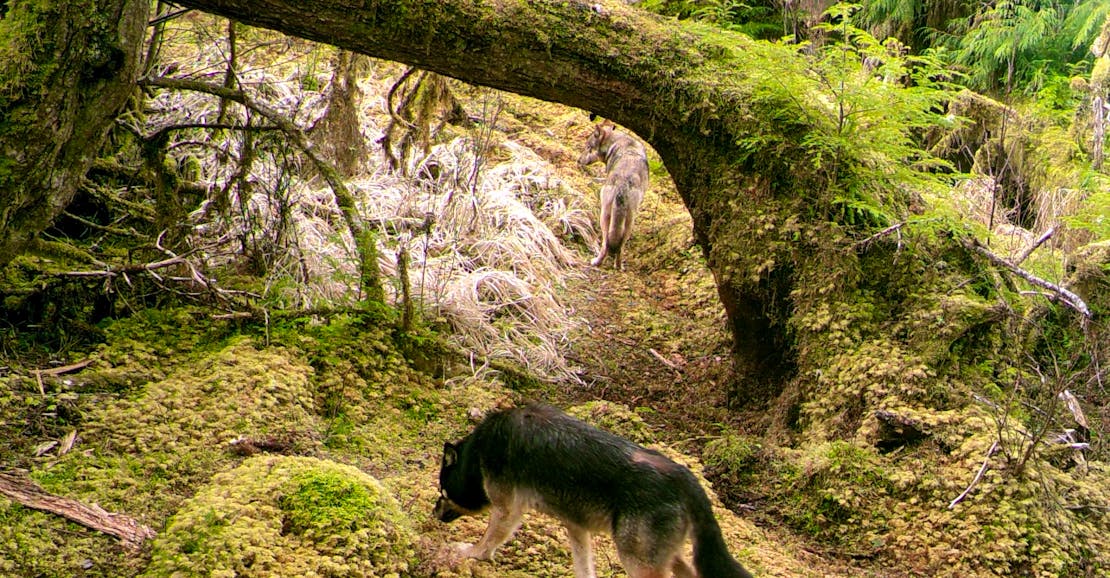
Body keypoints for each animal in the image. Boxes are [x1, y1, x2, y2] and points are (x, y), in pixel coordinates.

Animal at [434, 403, 753, 578]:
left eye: (442, 490)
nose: (434, 511)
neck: (479, 452)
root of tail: (687, 479)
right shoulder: (576, 526)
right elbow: (584, 567)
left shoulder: (507, 509)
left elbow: (486, 543)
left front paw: (471, 553)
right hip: (662, 556)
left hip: (637, 561)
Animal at [578, 120, 649, 270]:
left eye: (588, 147)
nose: (578, 160)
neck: (616, 142)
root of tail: (623, 183)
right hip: (629, 222)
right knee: (620, 246)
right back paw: (618, 267)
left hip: (603, 216)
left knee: (605, 243)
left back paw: (596, 262)